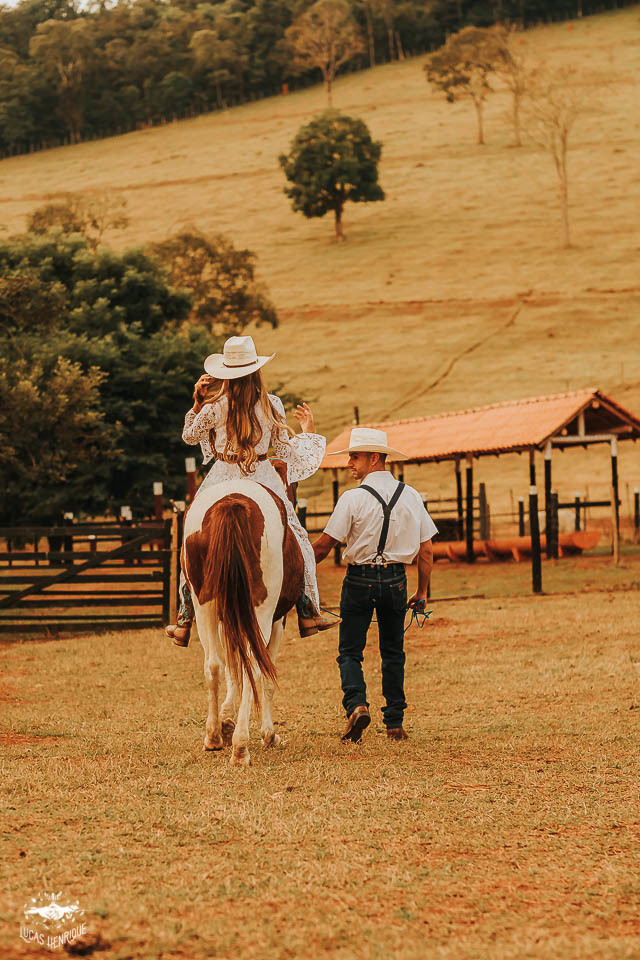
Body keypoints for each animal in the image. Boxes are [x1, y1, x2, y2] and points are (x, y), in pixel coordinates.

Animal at [182, 477, 304, 766]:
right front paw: (269, 735)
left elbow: (230, 666)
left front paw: (226, 720)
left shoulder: (227, 618)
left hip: (204, 605)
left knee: (213, 664)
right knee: (253, 668)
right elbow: (265, 676)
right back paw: (240, 748)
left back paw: (213, 737)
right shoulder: (277, 622)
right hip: (262, 612)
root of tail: (231, 502)